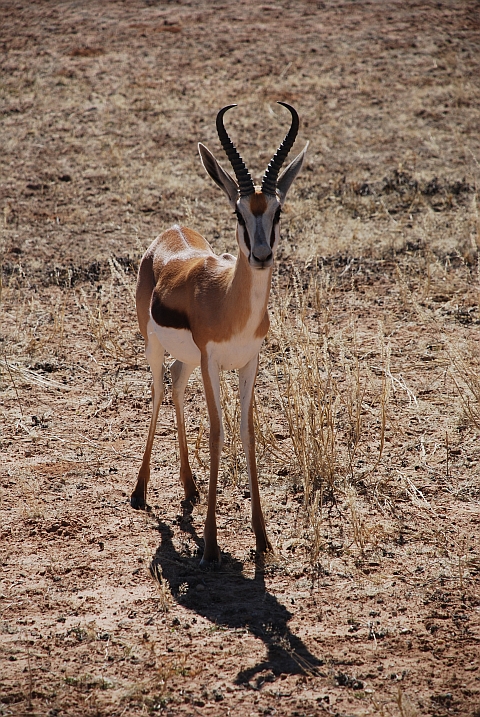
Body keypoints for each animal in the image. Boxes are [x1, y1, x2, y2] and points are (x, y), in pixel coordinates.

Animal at [132, 102, 308, 564]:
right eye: (238, 213)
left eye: (277, 212)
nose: (262, 255)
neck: (231, 301)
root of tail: (172, 231)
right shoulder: (213, 362)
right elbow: (216, 432)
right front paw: (211, 544)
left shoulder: (249, 361)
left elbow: (246, 432)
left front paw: (262, 538)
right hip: (154, 346)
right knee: (158, 390)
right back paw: (140, 491)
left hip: (188, 359)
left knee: (176, 383)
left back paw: (189, 488)